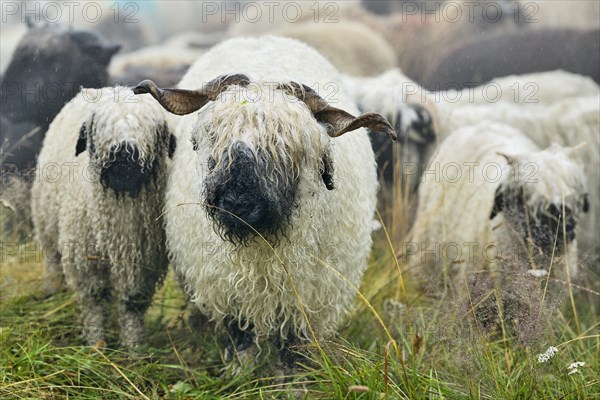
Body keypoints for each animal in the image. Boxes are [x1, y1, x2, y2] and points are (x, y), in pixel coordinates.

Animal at [30, 86, 176, 346]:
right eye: (101, 127)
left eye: (150, 127)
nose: (124, 152)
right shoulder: (85, 260)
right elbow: (94, 303)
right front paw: (95, 345)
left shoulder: (141, 265)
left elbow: (132, 305)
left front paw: (133, 347)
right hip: (46, 224)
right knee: (53, 263)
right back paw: (53, 294)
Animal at [134, 35, 396, 372]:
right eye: (212, 136)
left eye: (287, 143)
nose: (237, 203)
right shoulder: (228, 289)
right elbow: (240, 336)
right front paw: (239, 373)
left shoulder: (306, 300)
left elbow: (294, 349)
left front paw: (291, 378)